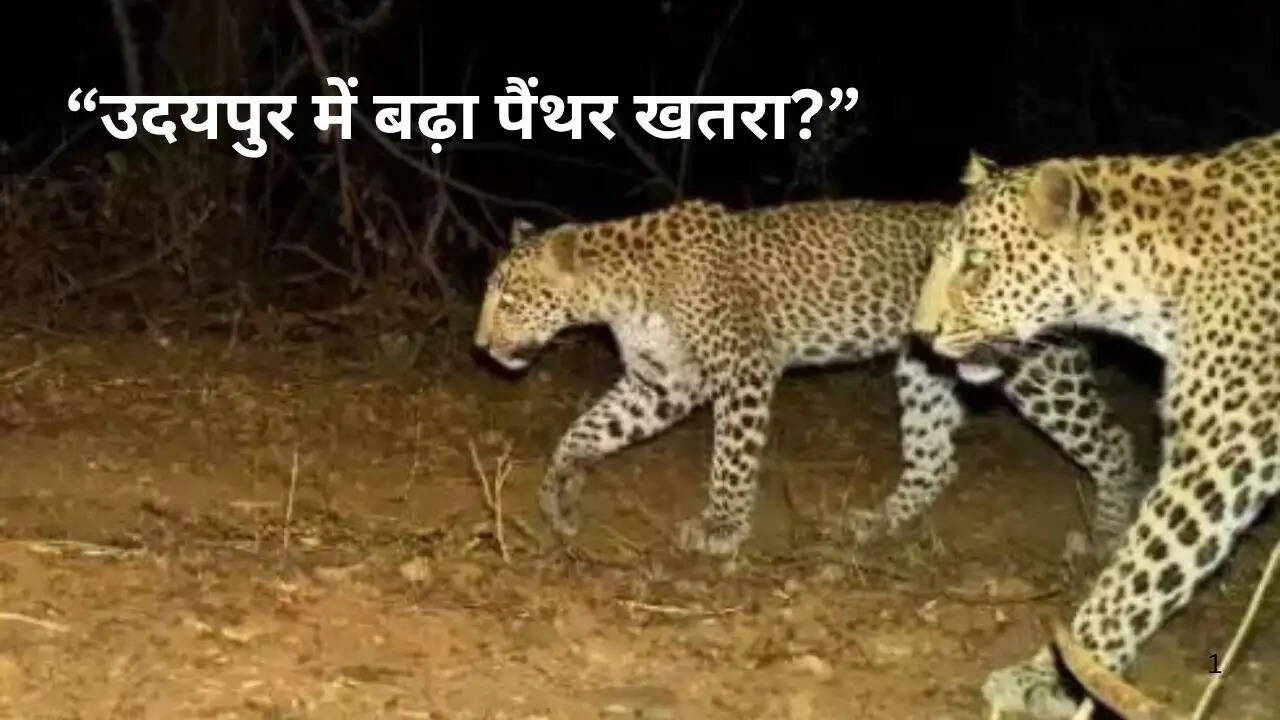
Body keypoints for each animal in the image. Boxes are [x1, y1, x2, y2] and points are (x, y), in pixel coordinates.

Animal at [473, 197, 1141, 558]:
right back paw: (876, 523)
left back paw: (1106, 538)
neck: (620, 290)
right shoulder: (659, 384)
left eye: (510, 297)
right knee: (935, 459)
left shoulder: (743, 369)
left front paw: (721, 528)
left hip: (1038, 372)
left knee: (1116, 443)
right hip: (921, 368)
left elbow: (731, 459)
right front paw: (559, 490)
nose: (480, 346)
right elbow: (586, 429)